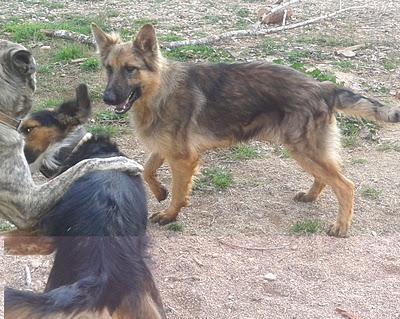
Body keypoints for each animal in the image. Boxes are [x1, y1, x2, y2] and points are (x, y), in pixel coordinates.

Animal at [91, 23, 400, 238]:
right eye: (108, 68)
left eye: (130, 69)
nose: (107, 98)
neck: (159, 91)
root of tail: (322, 86)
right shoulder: (166, 148)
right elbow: (147, 171)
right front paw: (160, 193)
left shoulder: (183, 158)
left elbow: (179, 191)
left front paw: (170, 214)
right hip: (302, 150)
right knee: (325, 178)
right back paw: (311, 196)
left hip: (304, 149)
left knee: (346, 186)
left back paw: (341, 226)